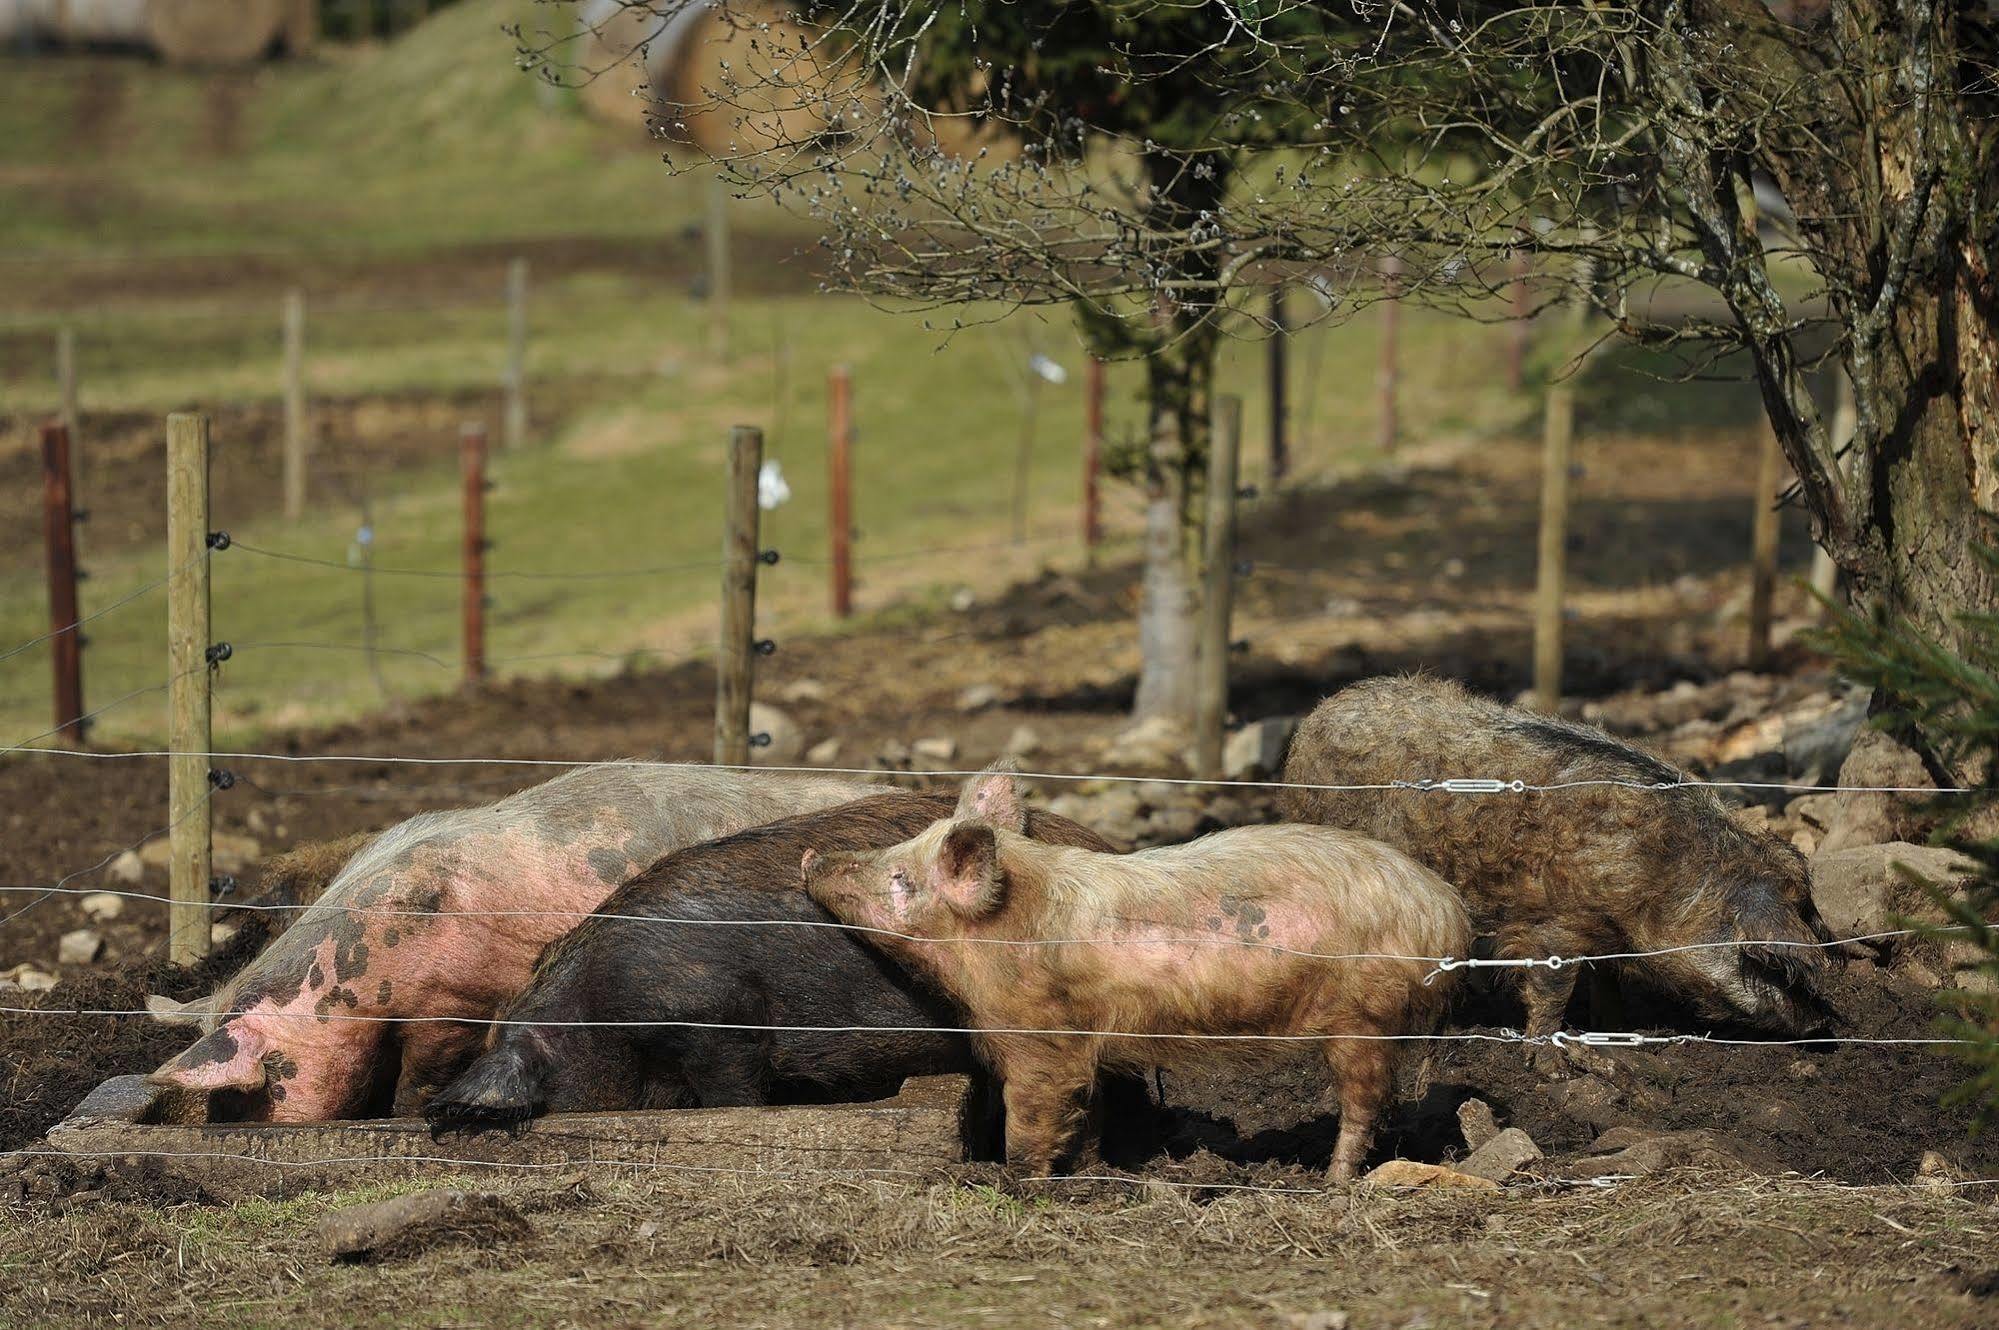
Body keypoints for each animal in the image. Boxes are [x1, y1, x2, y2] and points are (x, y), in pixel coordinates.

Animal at [795, 768, 1471, 1184]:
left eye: (901, 880)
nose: (811, 856)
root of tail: (1447, 912)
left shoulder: (1036, 1033)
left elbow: (1032, 1110)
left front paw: (1018, 1180)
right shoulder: (1089, 1040)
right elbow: (1089, 1110)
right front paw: (1093, 1172)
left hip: (1367, 1016)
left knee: (1365, 1103)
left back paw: (1330, 1183)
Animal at [1279, 676, 1831, 1048]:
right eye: (1763, 956)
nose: (1824, 1023)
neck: (1665, 875)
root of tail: (1315, 719)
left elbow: (1606, 980)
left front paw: (1615, 1027)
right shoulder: (1554, 925)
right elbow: (1552, 988)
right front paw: (1557, 1059)